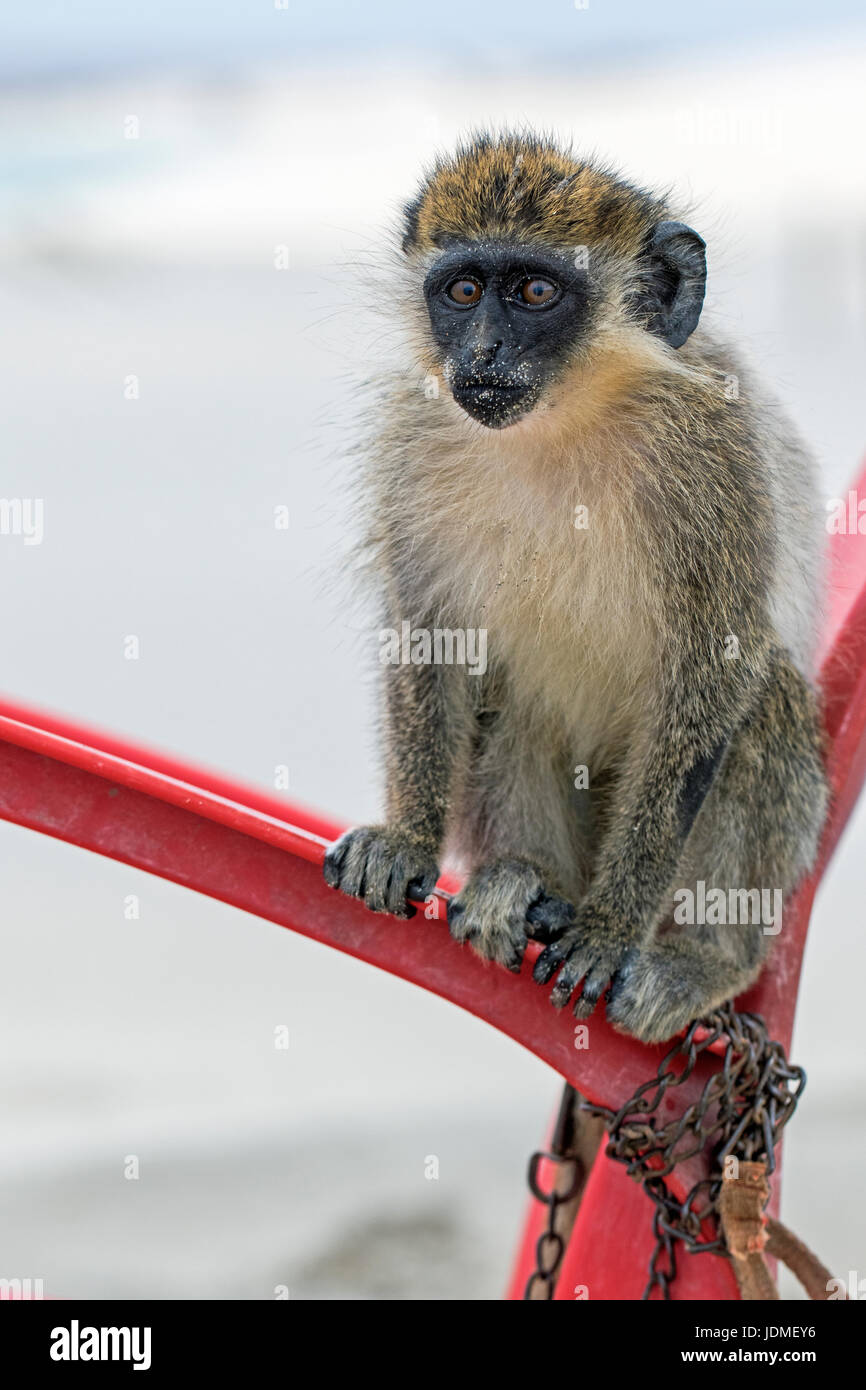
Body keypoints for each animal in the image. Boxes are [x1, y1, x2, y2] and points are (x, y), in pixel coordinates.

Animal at [323, 130, 829, 1044]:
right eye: (462, 291)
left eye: (534, 292)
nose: (481, 354)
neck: (566, 417)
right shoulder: (414, 435)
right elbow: (432, 634)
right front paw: (406, 840)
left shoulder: (719, 457)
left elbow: (715, 670)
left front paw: (608, 930)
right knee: (509, 699)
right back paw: (528, 881)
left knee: (763, 699)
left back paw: (699, 956)